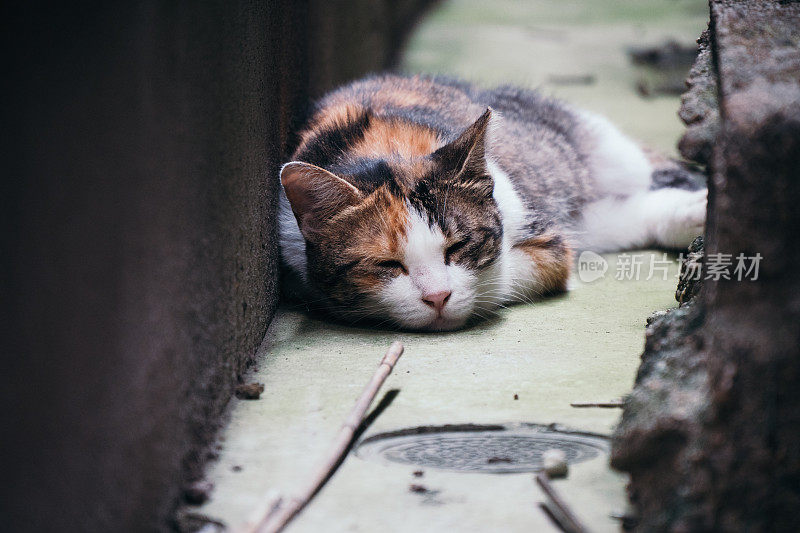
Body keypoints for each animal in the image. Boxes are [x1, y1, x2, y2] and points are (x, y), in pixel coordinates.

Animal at [276, 72, 708, 330]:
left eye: (459, 246)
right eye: (387, 264)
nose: (437, 297)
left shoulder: (543, 236)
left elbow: (522, 266)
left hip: (597, 149)